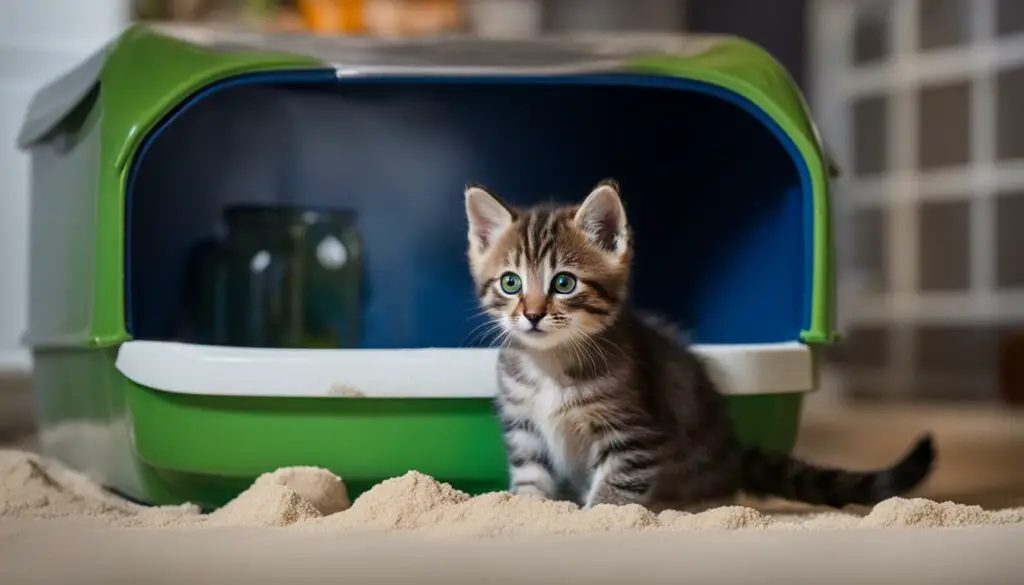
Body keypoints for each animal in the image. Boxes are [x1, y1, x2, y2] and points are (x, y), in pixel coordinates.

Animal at [464, 181, 937, 510]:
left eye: (563, 283)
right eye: (511, 283)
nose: (532, 314)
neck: (549, 362)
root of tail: (733, 454)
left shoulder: (634, 433)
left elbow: (616, 492)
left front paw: (596, 520)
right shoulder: (525, 429)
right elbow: (531, 480)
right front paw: (525, 512)